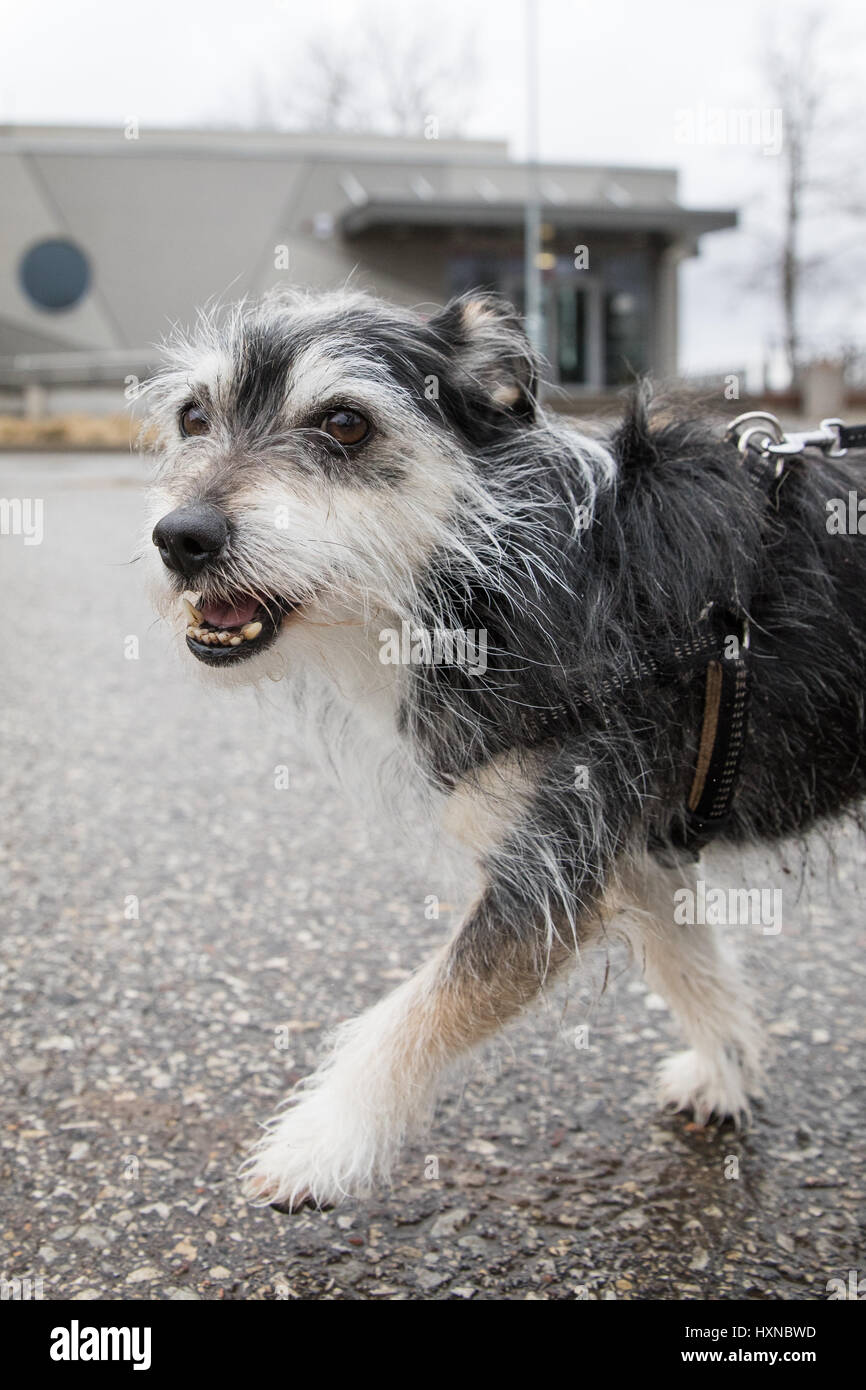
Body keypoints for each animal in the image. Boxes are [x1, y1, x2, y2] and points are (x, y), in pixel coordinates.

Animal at [142, 287, 866, 1212]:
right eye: (193, 417)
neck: (506, 572)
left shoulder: (549, 876)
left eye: (344, 423)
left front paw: (320, 1143)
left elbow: (415, 1012)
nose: (181, 537)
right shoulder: (631, 852)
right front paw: (728, 1072)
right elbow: (691, 966)